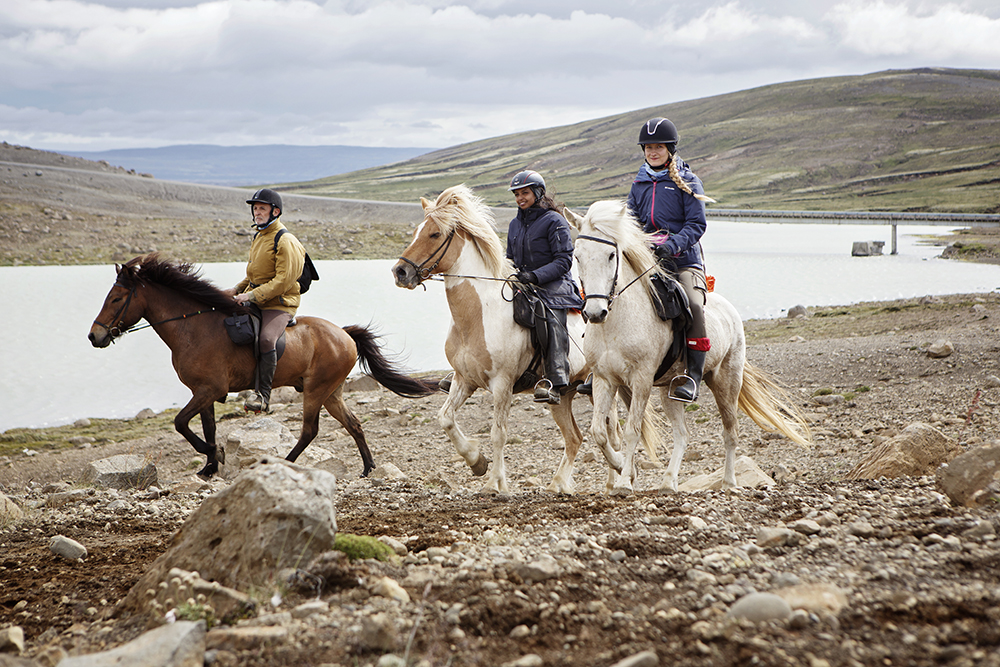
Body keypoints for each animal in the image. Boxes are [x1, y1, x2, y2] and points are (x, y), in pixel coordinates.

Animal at [88, 253, 437, 479]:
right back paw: (367, 468)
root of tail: (344, 334)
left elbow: (180, 423)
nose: (94, 336)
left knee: (310, 430)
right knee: (354, 424)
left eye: (116, 299)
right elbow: (205, 428)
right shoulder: (203, 392)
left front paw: (216, 456)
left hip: (316, 390)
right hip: (332, 392)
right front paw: (210, 466)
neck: (193, 327)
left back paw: (284, 462)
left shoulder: (209, 389)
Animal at [391, 185, 657, 494]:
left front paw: (495, 483)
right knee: (575, 437)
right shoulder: (463, 380)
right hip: (562, 396)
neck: (479, 314)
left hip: (601, 386)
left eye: (434, 234)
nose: (400, 272)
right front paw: (476, 461)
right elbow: (445, 418)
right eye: (416, 231)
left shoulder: (502, 384)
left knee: (610, 432)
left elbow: (498, 433)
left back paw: (615, 479)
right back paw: (559, 483)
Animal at [567, 201, 811, 495]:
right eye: (577, 256)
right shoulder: (605, 380)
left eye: (611, 255)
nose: (594, 312)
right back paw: (668, 481)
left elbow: (632, 431)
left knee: (730, 431)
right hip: (669, 391)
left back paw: (729, 482)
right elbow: (599, 433)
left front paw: (625, 481)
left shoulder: (641, 380)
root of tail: (729, 310)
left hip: (726, 383)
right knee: (682, 435)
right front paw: (624, 468)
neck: (616, 323)